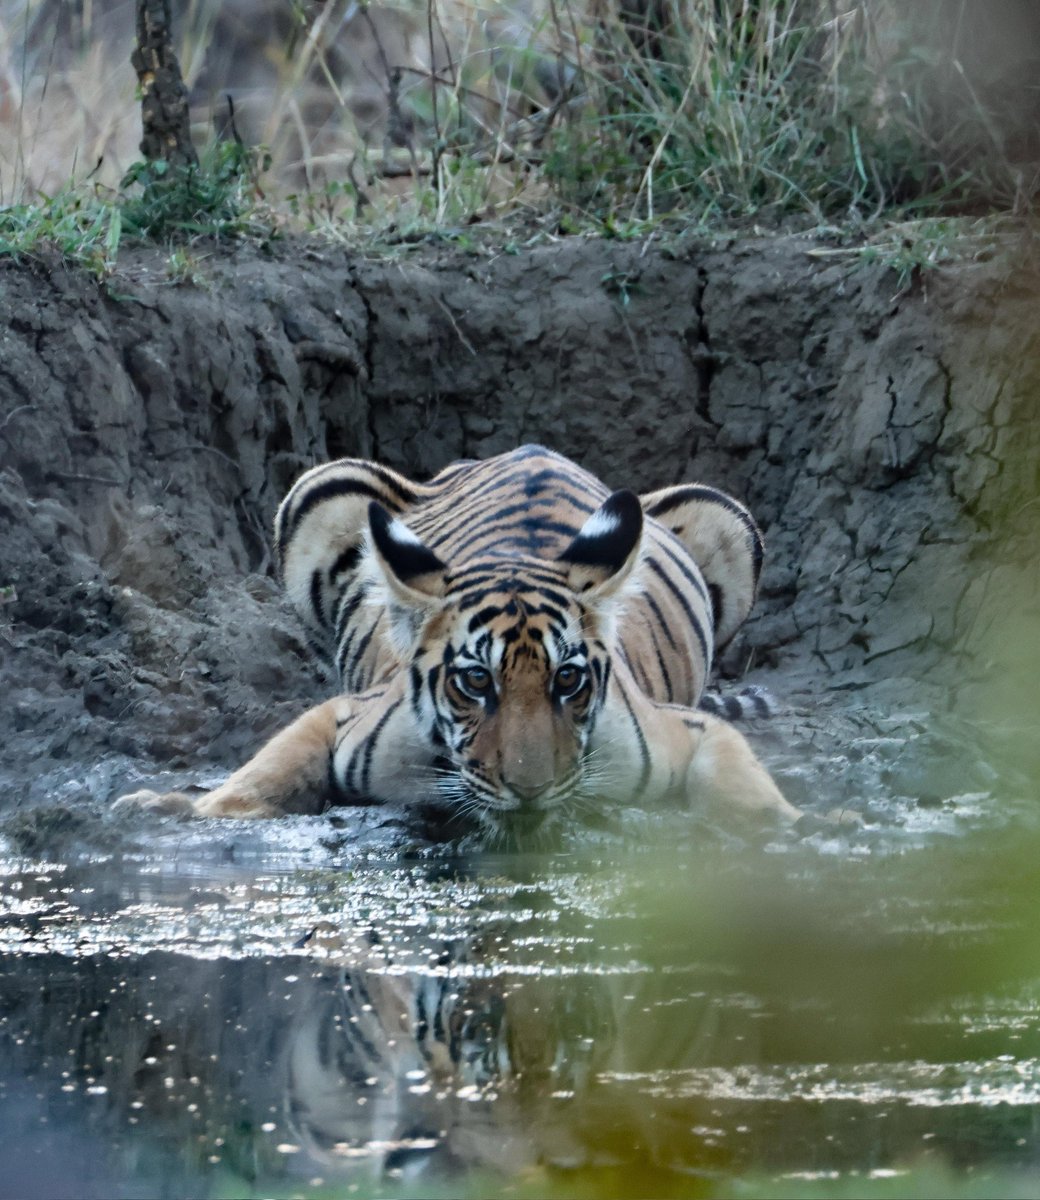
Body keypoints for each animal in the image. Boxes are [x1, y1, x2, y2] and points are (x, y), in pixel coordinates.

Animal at [117, 445, 801, 836]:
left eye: (568, 680)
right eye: (476, 681)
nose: (530, 790)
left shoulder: (682, 728)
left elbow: (739, 782)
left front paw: (795, 825)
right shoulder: (346, 714)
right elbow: (263, 774)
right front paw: (177, 809)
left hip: (727, 519)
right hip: (323, 488)